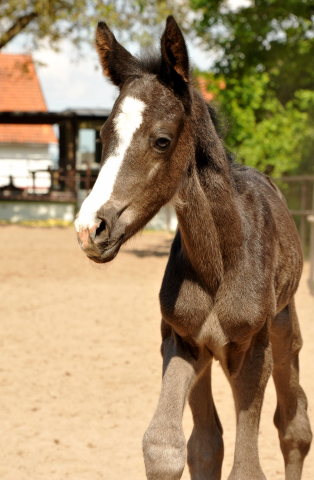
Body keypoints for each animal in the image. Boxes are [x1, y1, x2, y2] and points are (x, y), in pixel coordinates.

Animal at [75, 15, 312, 480]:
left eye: (162, 140)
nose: (89, 227)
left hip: (283, 325)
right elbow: (166, 447)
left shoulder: (252, 349)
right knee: (207, 441)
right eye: (103, 135)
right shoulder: (180, 338)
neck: (220, 258)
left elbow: (247, 468)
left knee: (294, 427)